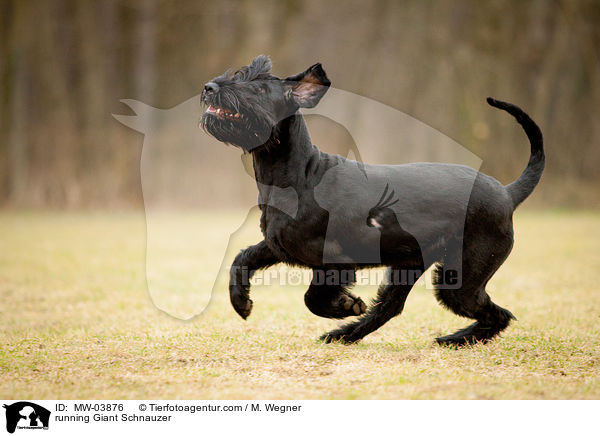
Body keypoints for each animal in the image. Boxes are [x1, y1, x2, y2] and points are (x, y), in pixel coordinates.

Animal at [202, 56, 544, 346]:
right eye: (240, 74)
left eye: (259, 87)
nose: (210, 88)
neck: (298, 175)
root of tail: (507, 193)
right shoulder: (277, 245)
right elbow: (241, 259)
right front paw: (241, 302)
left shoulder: (335, 261)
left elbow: (312, 298)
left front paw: (346, 304)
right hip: (411, 266)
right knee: (390, 308)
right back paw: (346, 335)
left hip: (460, 277)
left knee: (498, 314)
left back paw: (455, 339)